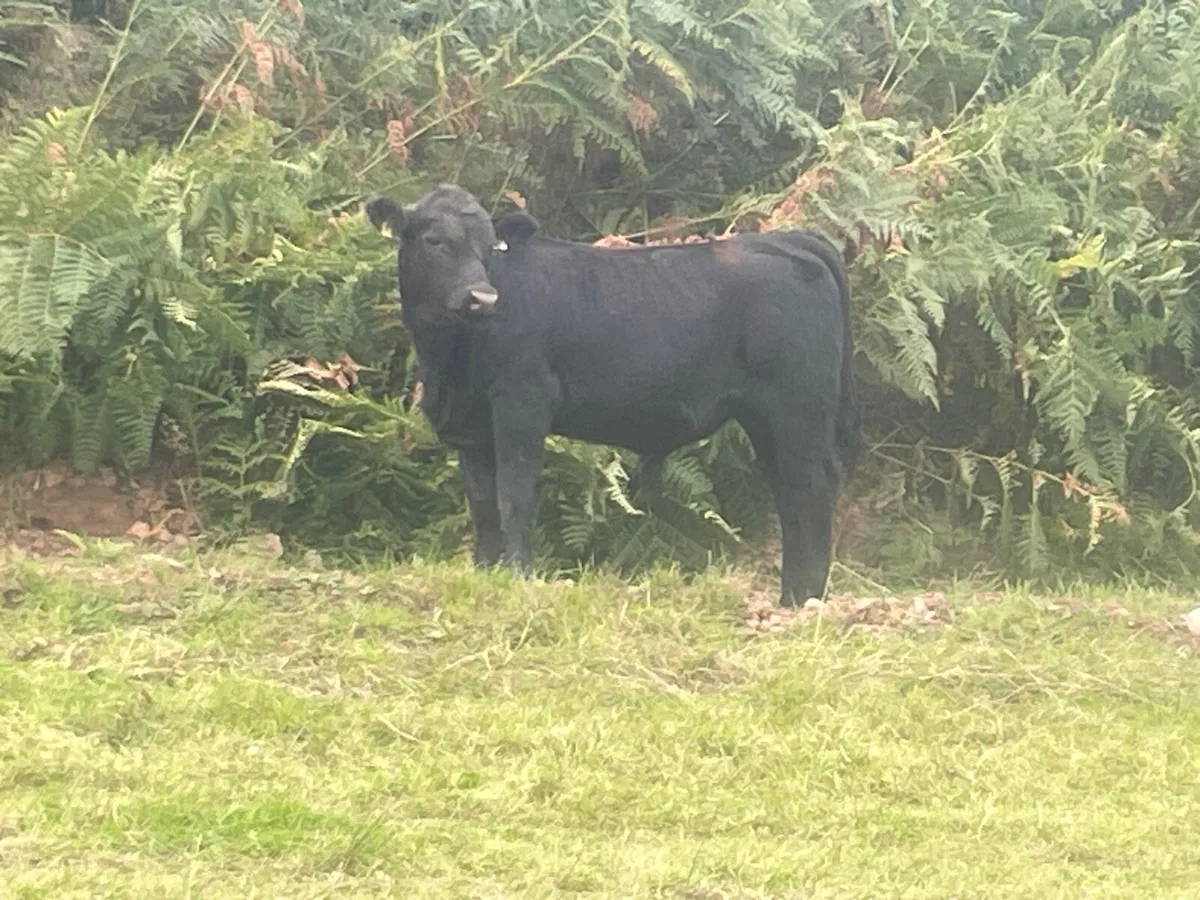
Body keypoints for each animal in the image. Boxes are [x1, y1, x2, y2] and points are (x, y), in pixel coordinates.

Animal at [365, 184, 862, 606]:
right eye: (434, 241)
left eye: (491, 248)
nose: (482, 297)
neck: (448, 360)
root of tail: (789, 240)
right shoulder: (469, 426)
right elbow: (483, 505)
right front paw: (483, 573)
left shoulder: (522, 402)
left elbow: (515, 493)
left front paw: (519, 575)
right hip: (768, 417)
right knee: (789, 491)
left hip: (797, 409)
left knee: (809, 489)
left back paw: (804, 600)